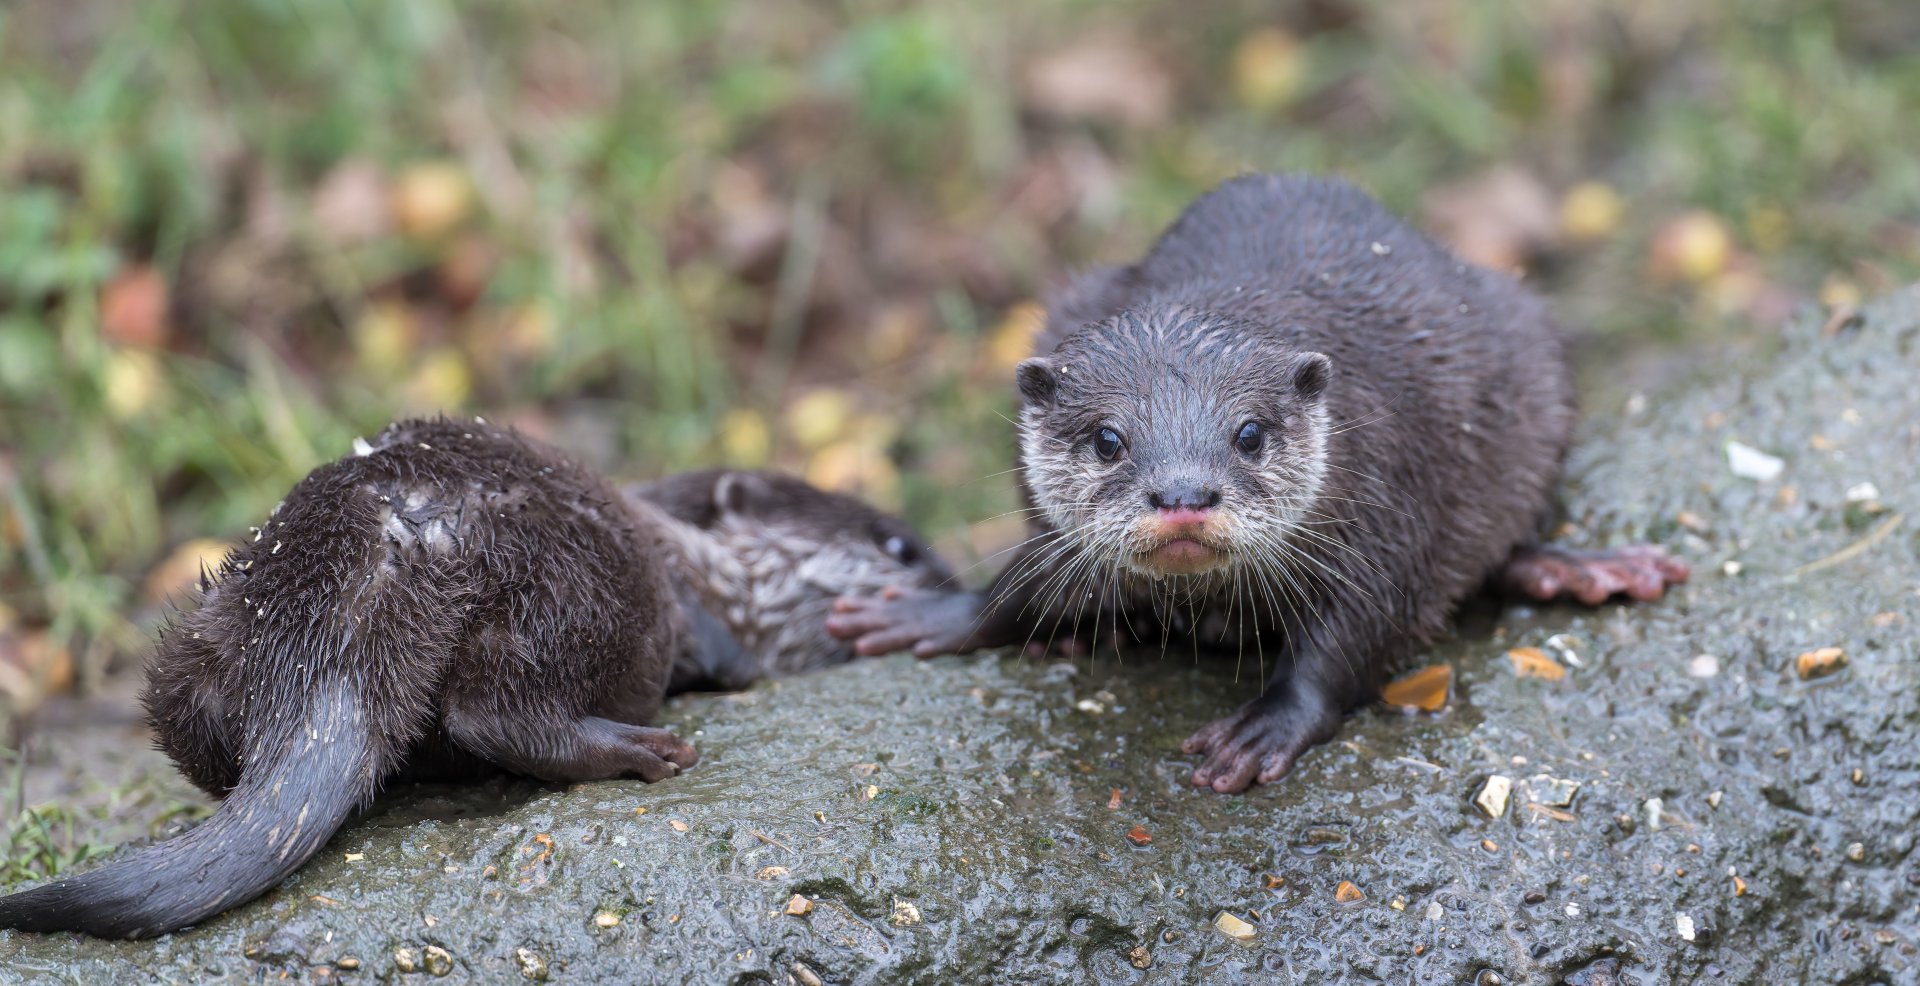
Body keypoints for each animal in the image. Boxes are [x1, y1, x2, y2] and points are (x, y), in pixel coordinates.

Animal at [0, 417, 949, 938]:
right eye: (897, 545)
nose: (949, 585)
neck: (702, 555)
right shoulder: (692, 594)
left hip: (193, 642)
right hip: (577, 574)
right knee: (493, 708)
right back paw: (640, 747)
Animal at [829, 173, 1688, 793]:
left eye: (1248, 434)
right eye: (1108, 439)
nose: (1183, 497)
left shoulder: (1387, 507)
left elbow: (1356, 636)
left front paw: (1266, 725)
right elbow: (1021, 585)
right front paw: (937, 613)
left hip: (1529, 350)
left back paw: (1572, 570)